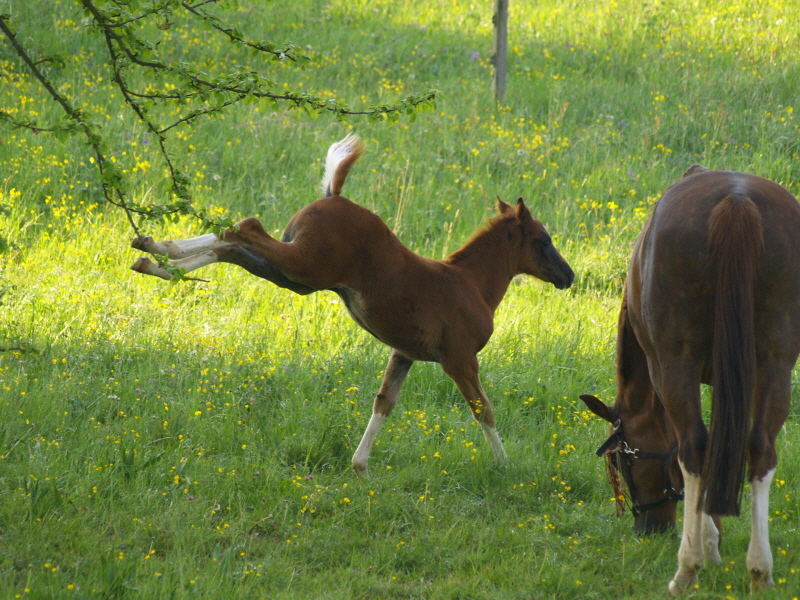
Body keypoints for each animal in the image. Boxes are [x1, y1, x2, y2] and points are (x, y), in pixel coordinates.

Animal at [133, 134, 576, 476]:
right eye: (543, 240)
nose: (567, 276)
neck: (472, 285)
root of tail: (334, 196)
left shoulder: (403, 352)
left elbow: (385, 402)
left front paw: (360, 466)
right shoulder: (460, 358)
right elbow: (483, 409)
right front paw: (504, 464)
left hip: (295, 277)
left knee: (230, 244)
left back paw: (155, 256)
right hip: (306, 267)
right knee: (244, 228)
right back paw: (159, 253)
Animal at [580, 165, 800, 596]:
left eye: (622, 459)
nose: (647, 528)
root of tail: (736, 201)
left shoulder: (665, 370)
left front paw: (709, 543)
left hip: (676, 365)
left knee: (693, 450)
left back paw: (687, 568)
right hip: (776, 364)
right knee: (760, 450)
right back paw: (759, 571)